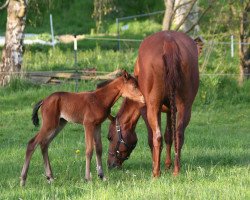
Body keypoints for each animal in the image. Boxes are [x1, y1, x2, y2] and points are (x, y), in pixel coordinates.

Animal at [107, 30, 199, 177]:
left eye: (109, 137)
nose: (110, 165)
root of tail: (169, 41)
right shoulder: (170, 110)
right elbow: (169, 136)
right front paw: (167, 165)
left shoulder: (146, 109)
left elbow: (152, 138)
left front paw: (156, 165)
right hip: (185, 107)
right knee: (179, 135)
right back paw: (176, 171)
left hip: (153, 107)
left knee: (157, 137)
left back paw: (156, 173)